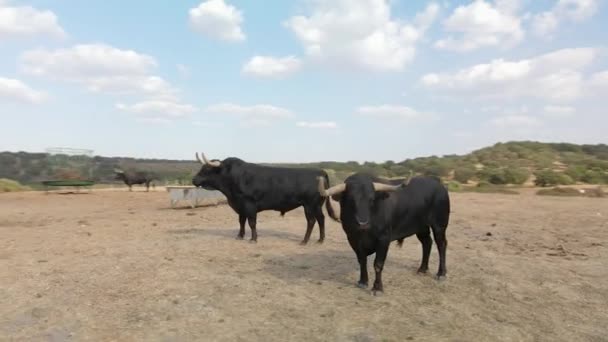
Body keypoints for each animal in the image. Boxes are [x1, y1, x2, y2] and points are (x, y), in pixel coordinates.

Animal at [192, 152, 340, 243]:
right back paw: (320, 240)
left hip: (310, 205)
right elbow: (241, 222)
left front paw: (253, 239)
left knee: (311, 221)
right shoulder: (240, 206)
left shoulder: (249, 204)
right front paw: (240, 236)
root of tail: (320, 171)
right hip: (317, 205)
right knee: (321, 219)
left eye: (206, 169)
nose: (194, 180)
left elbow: (251, 222)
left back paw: (304, 241)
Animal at [320, 174, 448, 294]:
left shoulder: (383, 239)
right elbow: (362, 260)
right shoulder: (353, 239)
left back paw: (441, 273)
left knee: (441, 245)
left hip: (439, 225)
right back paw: (422, 269)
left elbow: (378, 264)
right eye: (351, 199)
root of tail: (436, 182)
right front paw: (363, 281)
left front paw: (377, 288)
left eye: (372, 199)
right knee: (427, 243)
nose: (363, 223)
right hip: (421, 227)